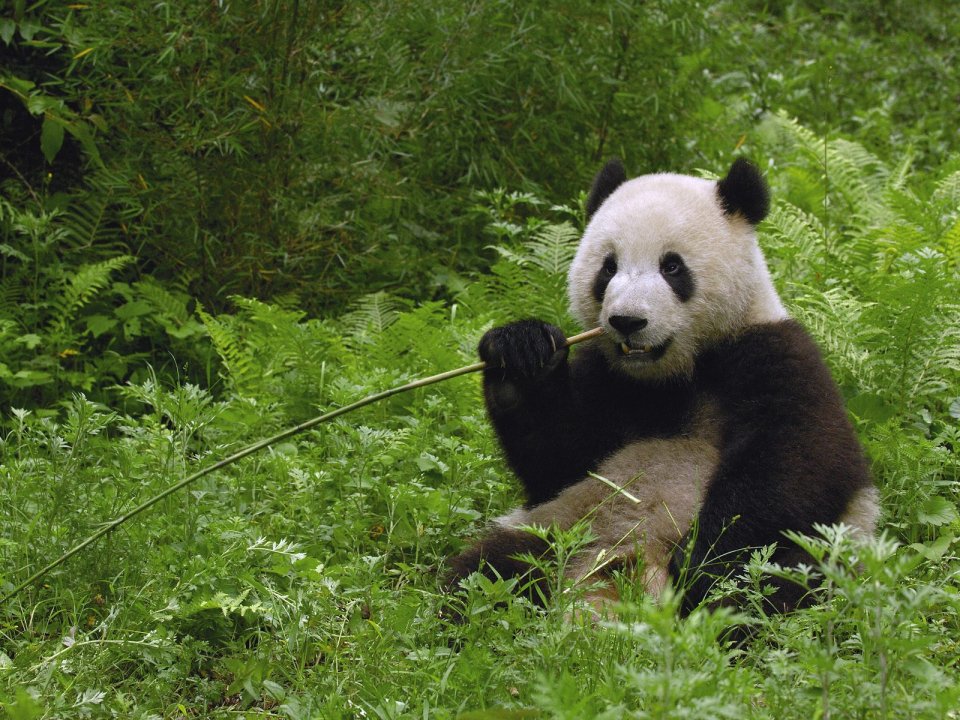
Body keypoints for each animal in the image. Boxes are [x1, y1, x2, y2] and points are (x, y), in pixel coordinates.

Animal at [446, 158, 879, 617]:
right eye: (608, 267)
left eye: (672, 267)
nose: (627, 321)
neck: (673, 373)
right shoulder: (607, 378)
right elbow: (558, 460)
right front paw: (521, 353)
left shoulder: (776, 355)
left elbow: (797, 463)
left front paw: (700, 562)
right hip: (561, 525)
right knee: (489, 570)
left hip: (817, 554)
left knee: (773, 582)